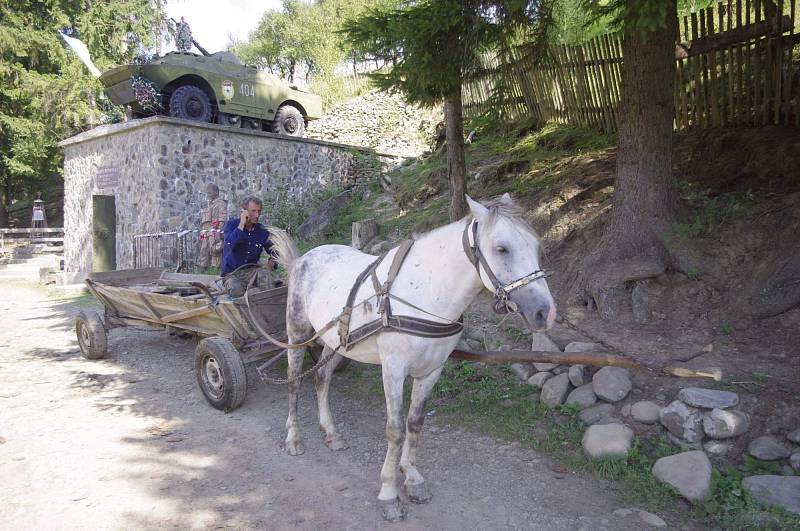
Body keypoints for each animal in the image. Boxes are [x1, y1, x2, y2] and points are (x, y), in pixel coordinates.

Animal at [272, 194, 552, 520]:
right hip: (298, 333)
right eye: (501, 248)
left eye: (537, 246)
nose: (545, 312)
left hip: (335, 342)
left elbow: (415, 423)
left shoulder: (432, 369)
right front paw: (389, 493)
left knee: (321, 378)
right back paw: (293, 438)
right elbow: (395, 430)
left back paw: (331, 433)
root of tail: (303, 259)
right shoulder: (393, 369)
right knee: (294, 383)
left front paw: (413, 478)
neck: (425, 293)